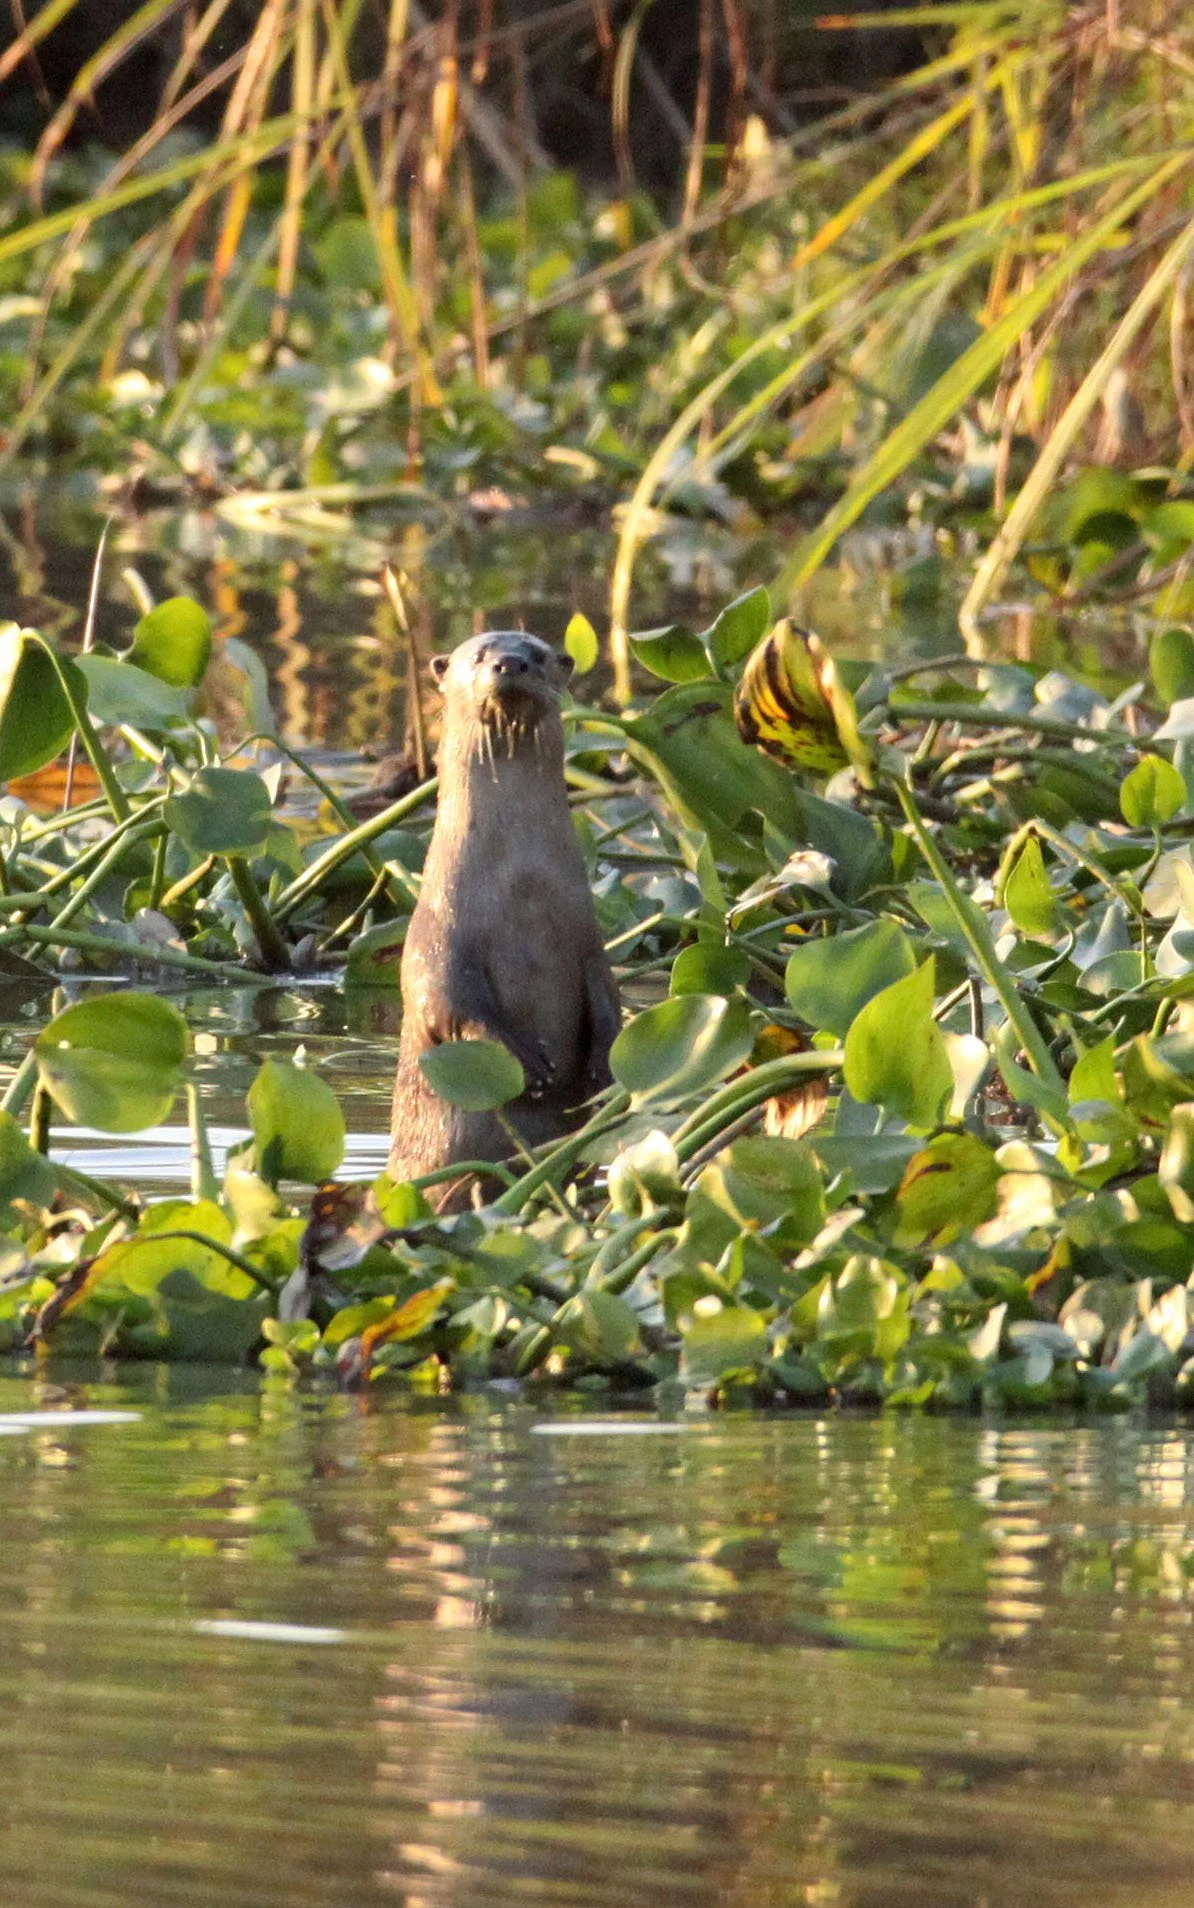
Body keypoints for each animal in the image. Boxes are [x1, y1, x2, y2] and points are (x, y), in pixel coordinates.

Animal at [388, 631, 621, 1207]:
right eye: (477, 655)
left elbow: (608, 996)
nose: (509, 663)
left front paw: (603, 1070)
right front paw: (531, 1068)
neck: (521, 889)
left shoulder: (588, 939)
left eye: (537, 654)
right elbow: (451, 1003)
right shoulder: (438, 939)